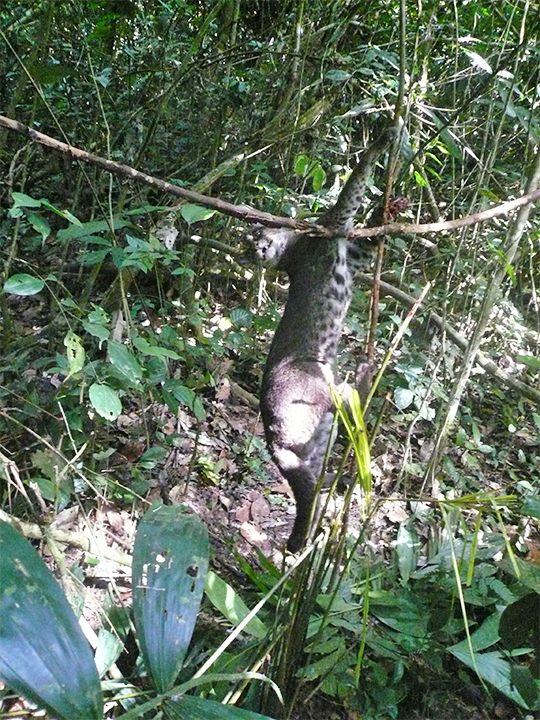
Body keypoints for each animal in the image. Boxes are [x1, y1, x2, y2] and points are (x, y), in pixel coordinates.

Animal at [255, 129, 394, 552]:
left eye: (256, 234)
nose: (255, 246)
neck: (294, 250)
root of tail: (272, 434)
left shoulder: (353, 252)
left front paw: (390, 208)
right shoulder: (337, 228)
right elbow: (354, 184)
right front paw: (386, 134)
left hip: (316, 447)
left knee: (312, 492)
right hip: (321, 388)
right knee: (352, 403)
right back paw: (366, 372)